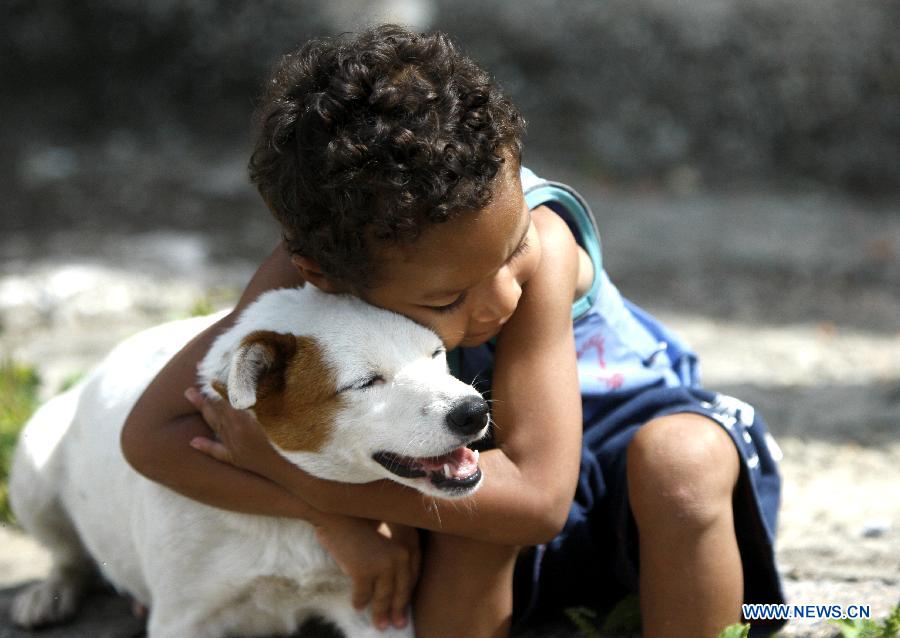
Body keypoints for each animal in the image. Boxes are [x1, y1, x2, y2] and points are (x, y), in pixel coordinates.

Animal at [10, 288, 488, 638]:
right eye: (366, 382)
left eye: (435, 354)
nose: (473, 411)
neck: (282, 516)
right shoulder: (182, 620)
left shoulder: (373, 611)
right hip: (33, 464)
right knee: (68, 554)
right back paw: (50, 593)